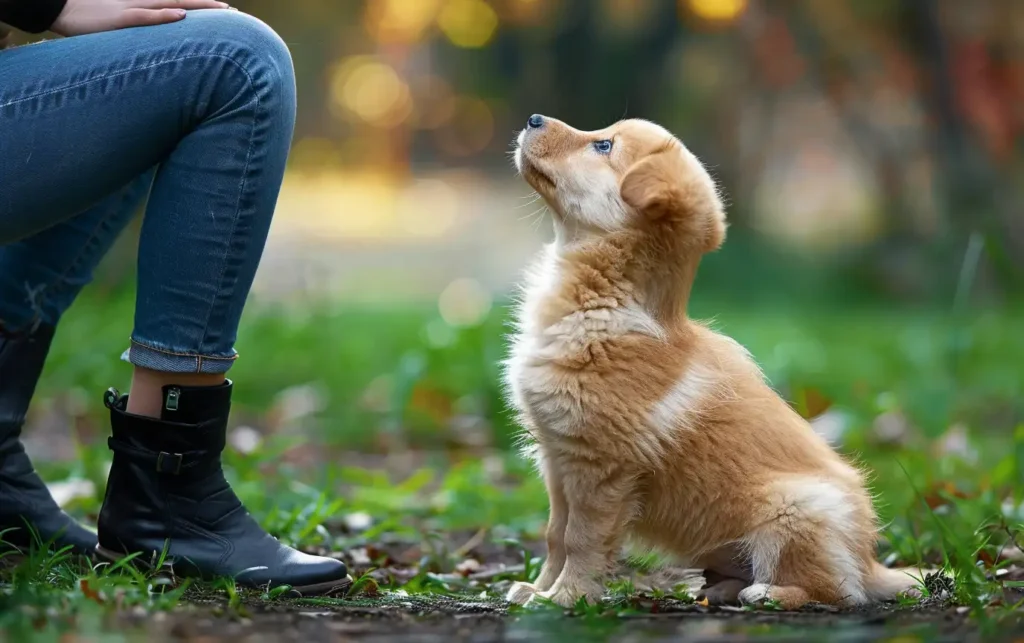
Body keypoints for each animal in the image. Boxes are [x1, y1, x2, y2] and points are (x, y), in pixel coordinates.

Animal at [505, 116, 929, 614]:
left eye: (603, 145)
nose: (533, 119)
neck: (605, 303)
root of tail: (870, 563)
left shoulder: (601, 469)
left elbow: (581, 540)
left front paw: (565, 598)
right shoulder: (557, 460)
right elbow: (555, 534)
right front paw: (537, 588)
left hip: (795, 509)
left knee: (836, 592)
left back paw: (768, 593)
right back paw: (719, 589)